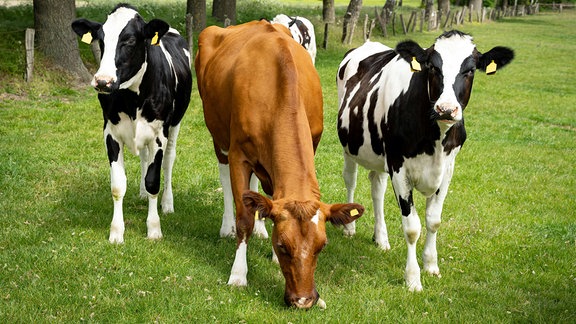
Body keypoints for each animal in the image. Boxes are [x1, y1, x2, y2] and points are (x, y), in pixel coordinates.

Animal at [72, 3, 192, 243]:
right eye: (101, 40)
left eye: (129, 41)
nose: (103, 81)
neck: (132, 99)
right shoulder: (110, 133)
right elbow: (118, 186)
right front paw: (116, 232)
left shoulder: (158, 135)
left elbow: (154, 180)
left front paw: (154, 229)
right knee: (144, 158)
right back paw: (143, 194)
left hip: (175, 124)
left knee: (169, 160)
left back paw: (167, 203)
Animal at [195, 20, 364, 308]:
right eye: (284, 246)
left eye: (322, 246)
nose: (304, 301)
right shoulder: (239, 154)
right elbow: (244, 217)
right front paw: (238, 274)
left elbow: (268, 199)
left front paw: (267, 238)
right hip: (218, 135)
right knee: (226, 179)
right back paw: (226, 226)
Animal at [338, 31, 512, 292]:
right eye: (432, 67)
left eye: (470, 70)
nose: (446, 109)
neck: (435, 141)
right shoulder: (398, 167)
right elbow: (412, 227)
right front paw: (412, 279)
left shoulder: (447, 169)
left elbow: (433, 221)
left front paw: (431, 265)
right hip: (351, 148)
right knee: (351, 181)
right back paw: (349, 227)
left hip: (379, 154)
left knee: (377, 188)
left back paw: (381, 238)